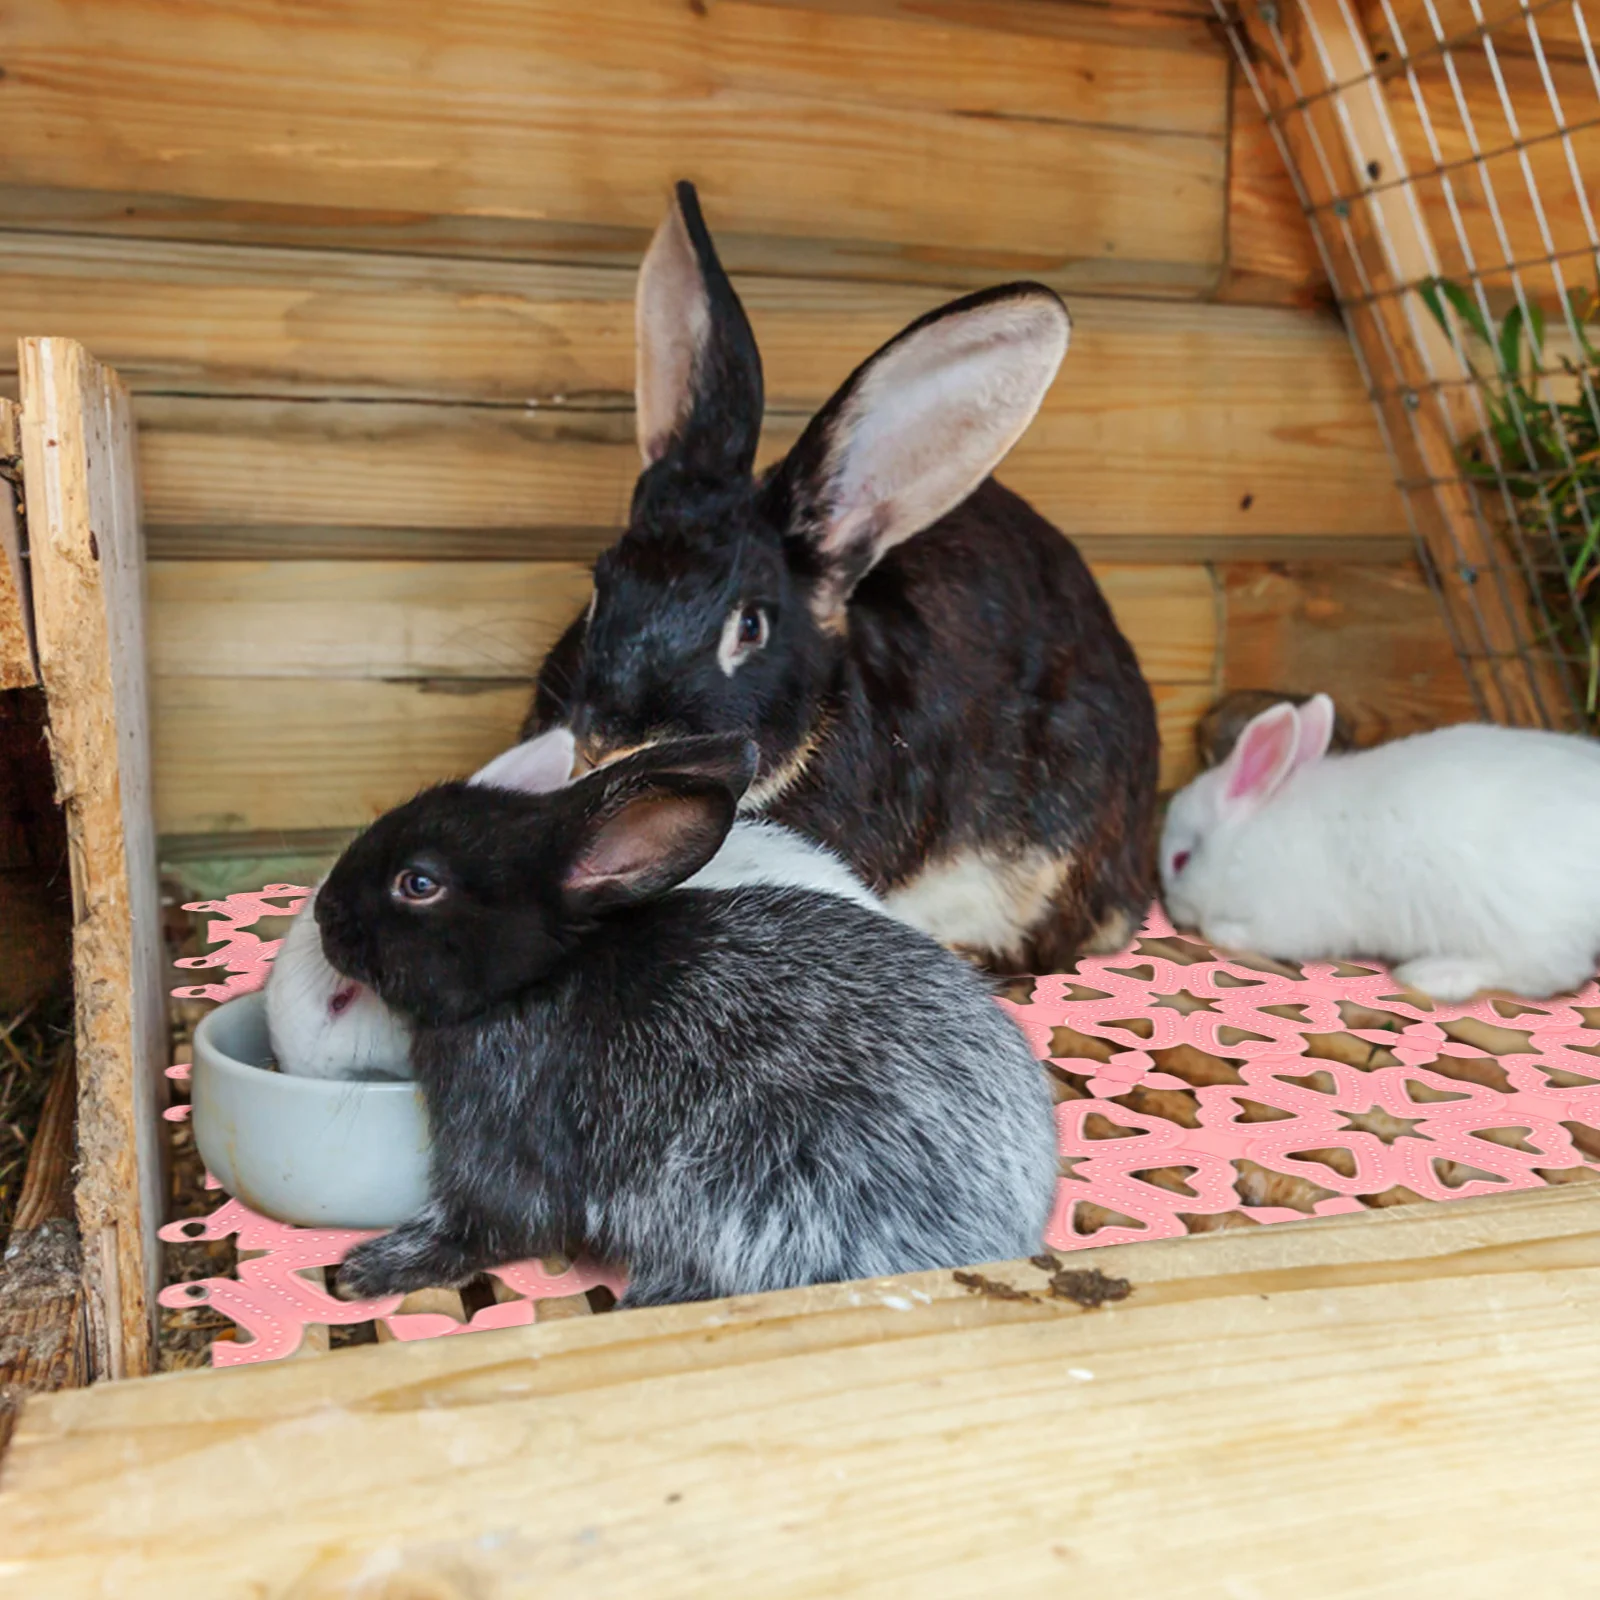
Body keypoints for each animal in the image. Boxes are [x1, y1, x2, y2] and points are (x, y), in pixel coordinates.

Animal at [315, 733, 1060, 1308]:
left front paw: (366, 1270)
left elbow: (487, 1225)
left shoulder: (505, 1143)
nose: (324, 912)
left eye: (418, 884)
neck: (538, 978)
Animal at [1160, 693, 1600, 1002]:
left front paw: (1220, 931)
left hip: (1518, 924)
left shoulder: (1288, 918)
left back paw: (1433, 974)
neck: (1242, 843)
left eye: (1181, 861)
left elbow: (1244, 933)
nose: (1174, 911)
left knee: (1545, 972)